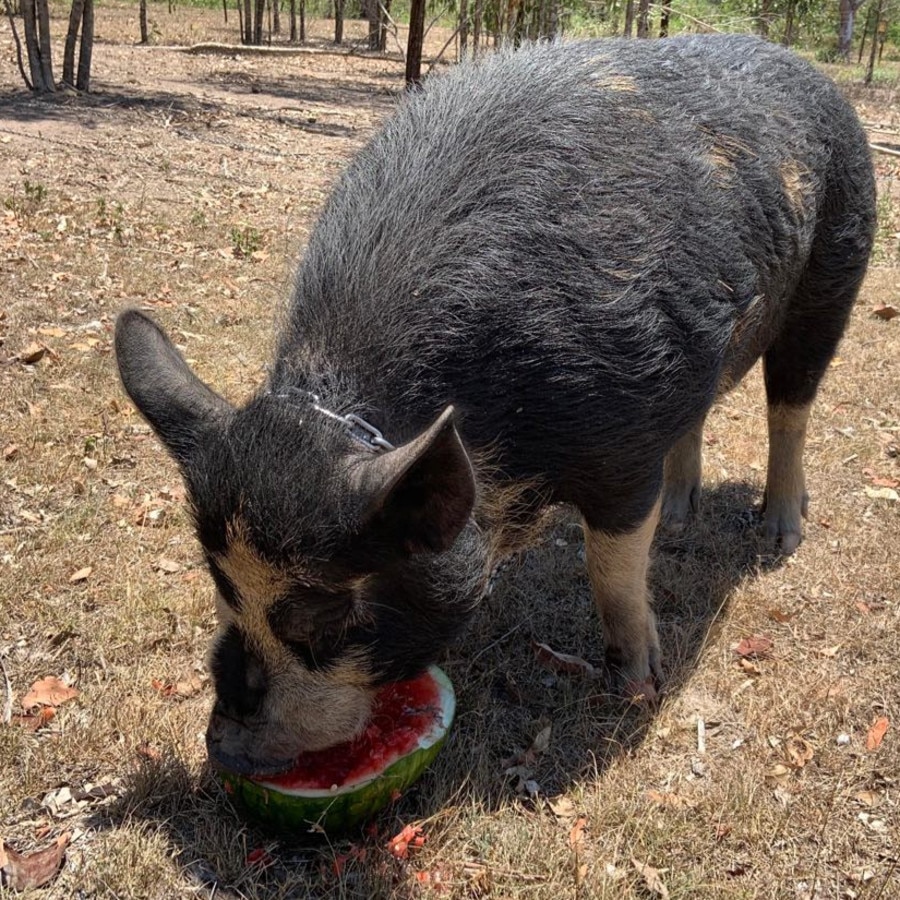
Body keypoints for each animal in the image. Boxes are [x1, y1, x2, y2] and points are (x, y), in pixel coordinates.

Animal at [116, 38, 876, 776]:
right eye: (220, 585)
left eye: (321, 616)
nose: (224, 751)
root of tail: (811, 73)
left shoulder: (624, 445)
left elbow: (612, 567)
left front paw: (636, 686)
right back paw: (684, 516)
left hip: (838, 267)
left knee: (792, 407)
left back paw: (778, 536)